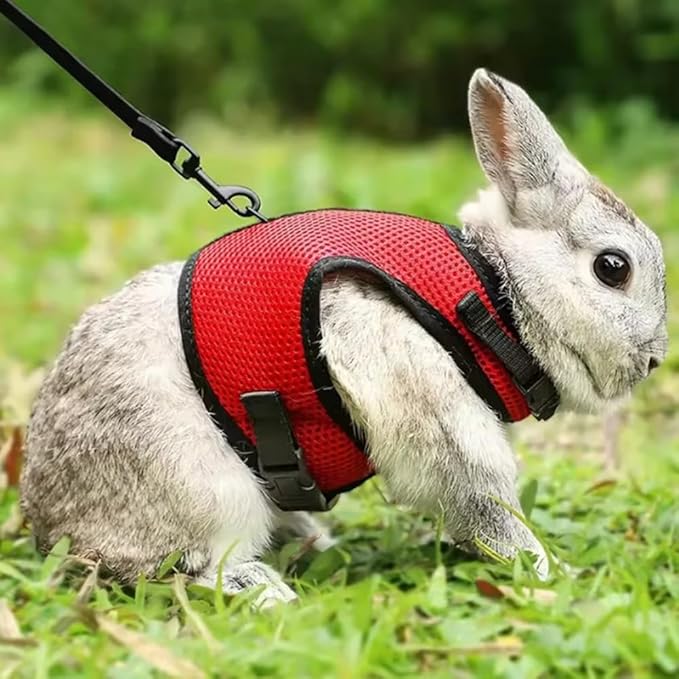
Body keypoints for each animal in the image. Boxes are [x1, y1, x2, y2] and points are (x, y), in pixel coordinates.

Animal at [20, 69, 667, 607]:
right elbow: (485, 504)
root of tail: (45, 520)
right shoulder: (441, 416)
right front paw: (549, 571)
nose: (656, 359)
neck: (492, 295)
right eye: (613, 268)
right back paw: (266, 589)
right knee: (183, 567)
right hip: (202, 486)